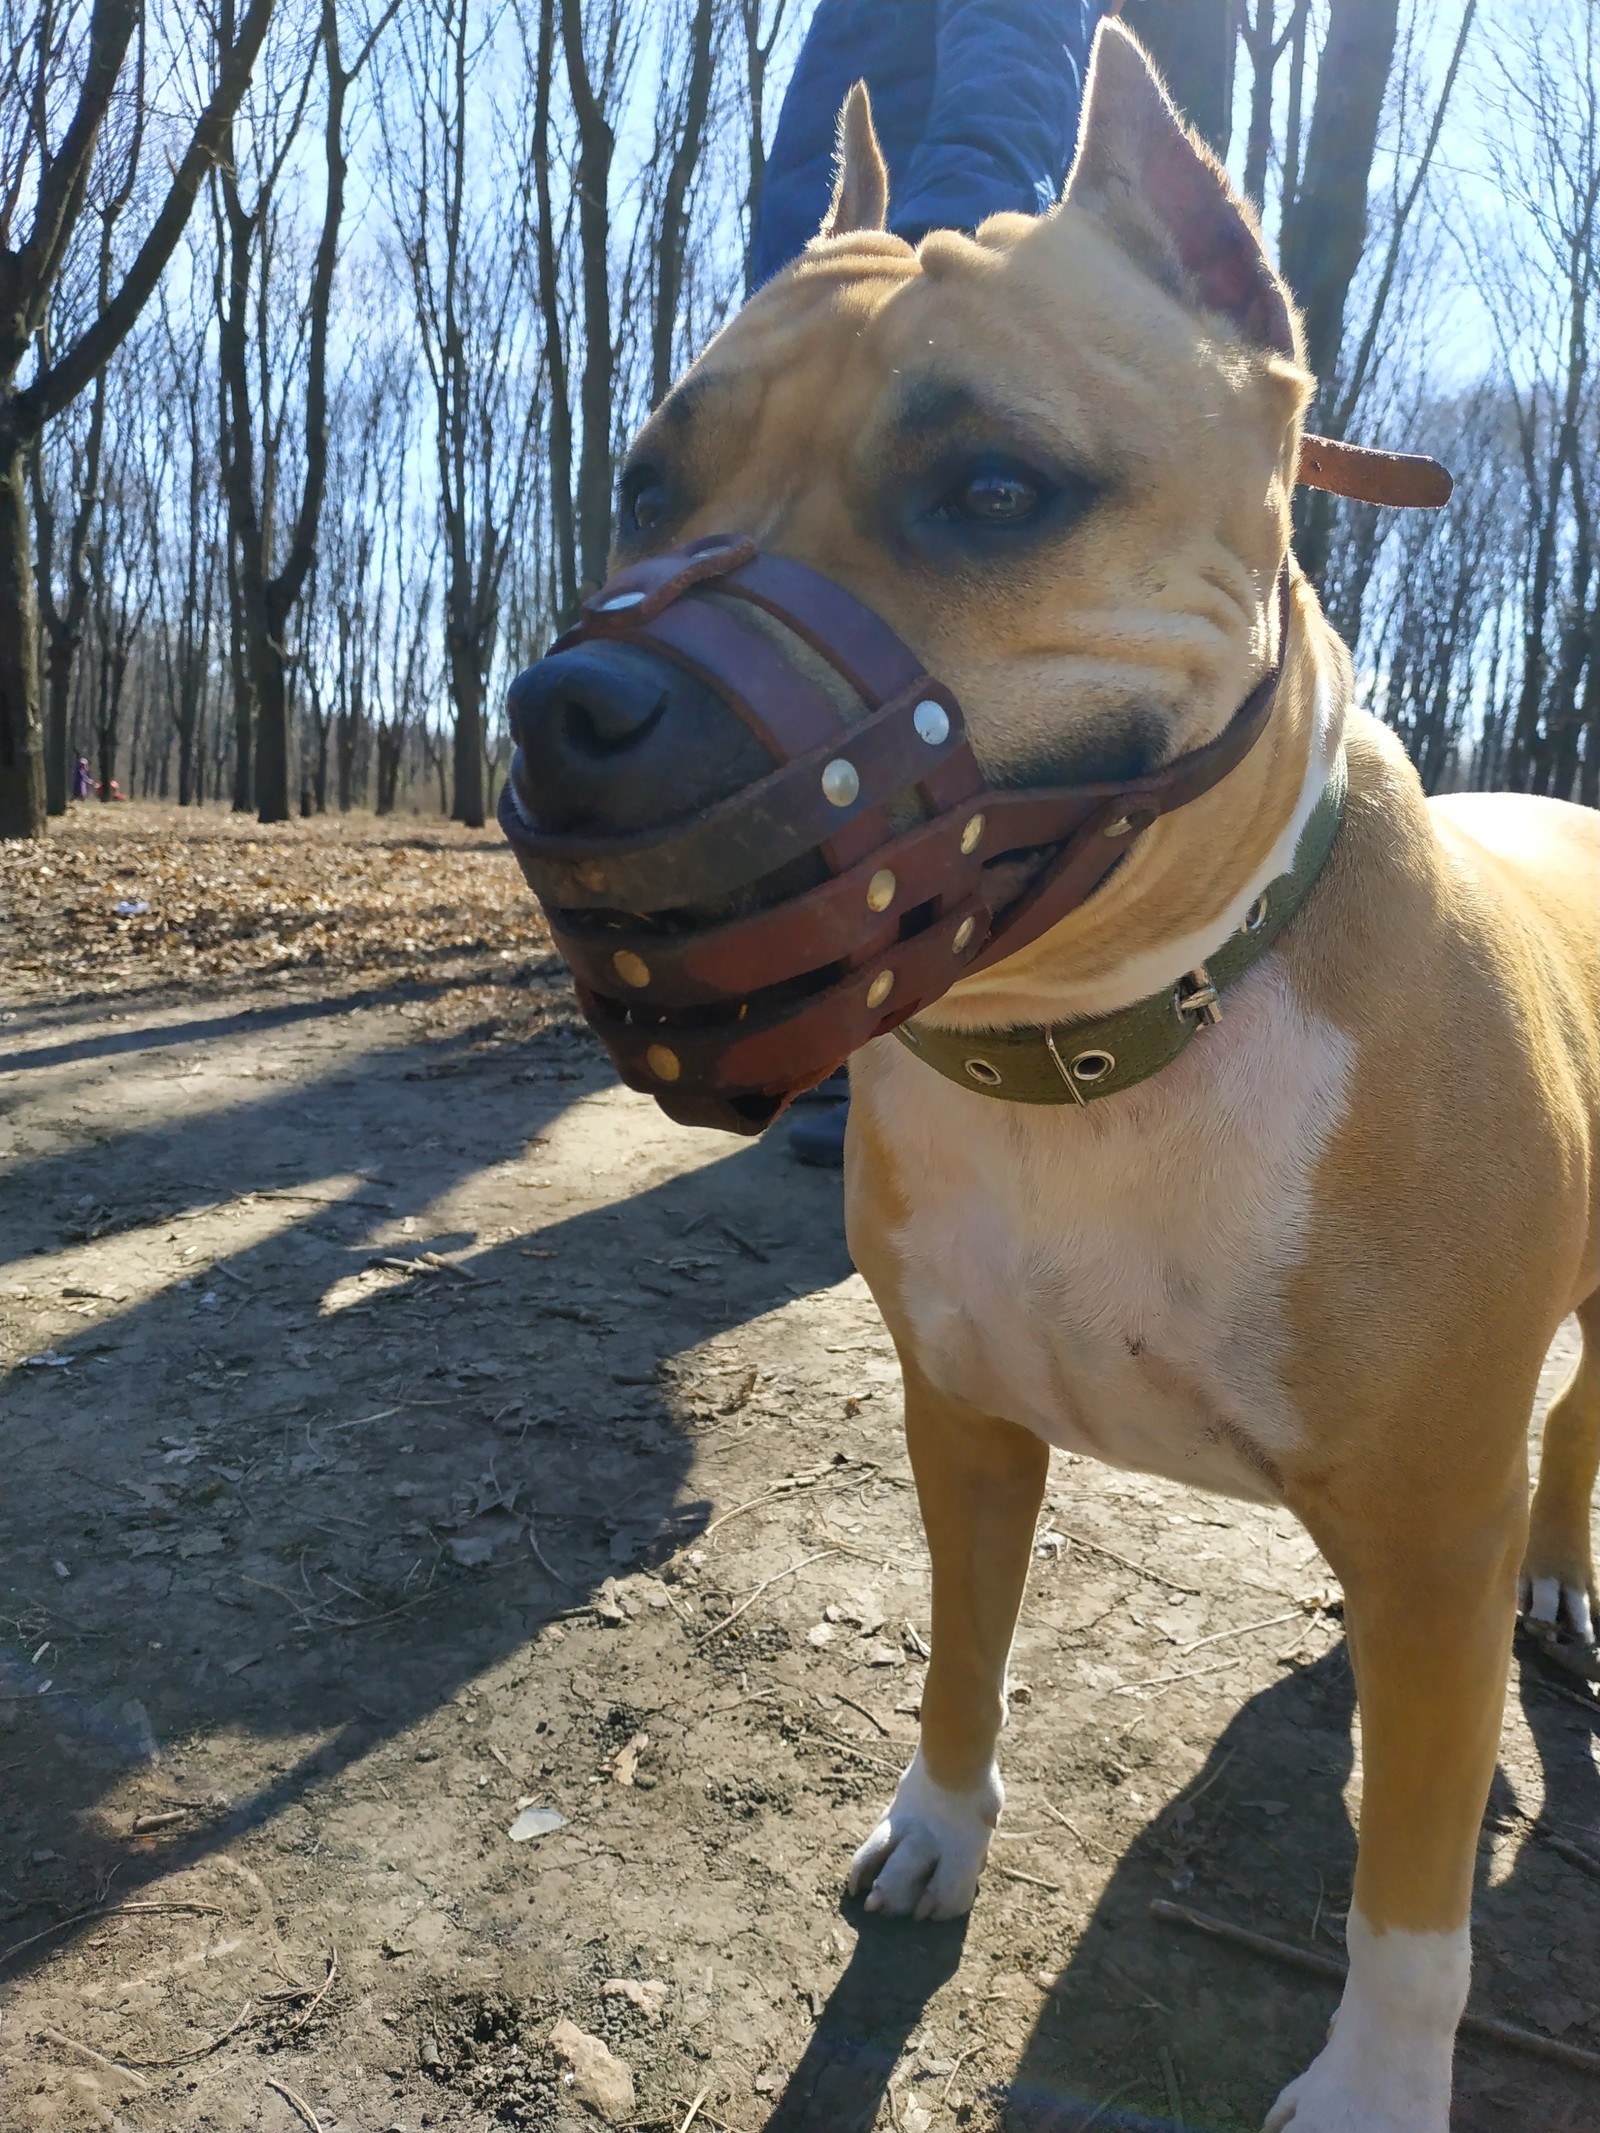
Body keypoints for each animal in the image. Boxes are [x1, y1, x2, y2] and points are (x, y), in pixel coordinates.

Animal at [605, 20, 1600, 2133]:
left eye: (994, 487)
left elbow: (1411, 1891)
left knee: (1565, 1443)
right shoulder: (965, 1423)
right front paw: (937, 1829)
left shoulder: (1430, 1519)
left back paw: (1554, 1584)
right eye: (649, 483)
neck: (1100, 1040)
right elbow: (960, 1658)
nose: (581, 707)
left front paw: (1380, 2079)